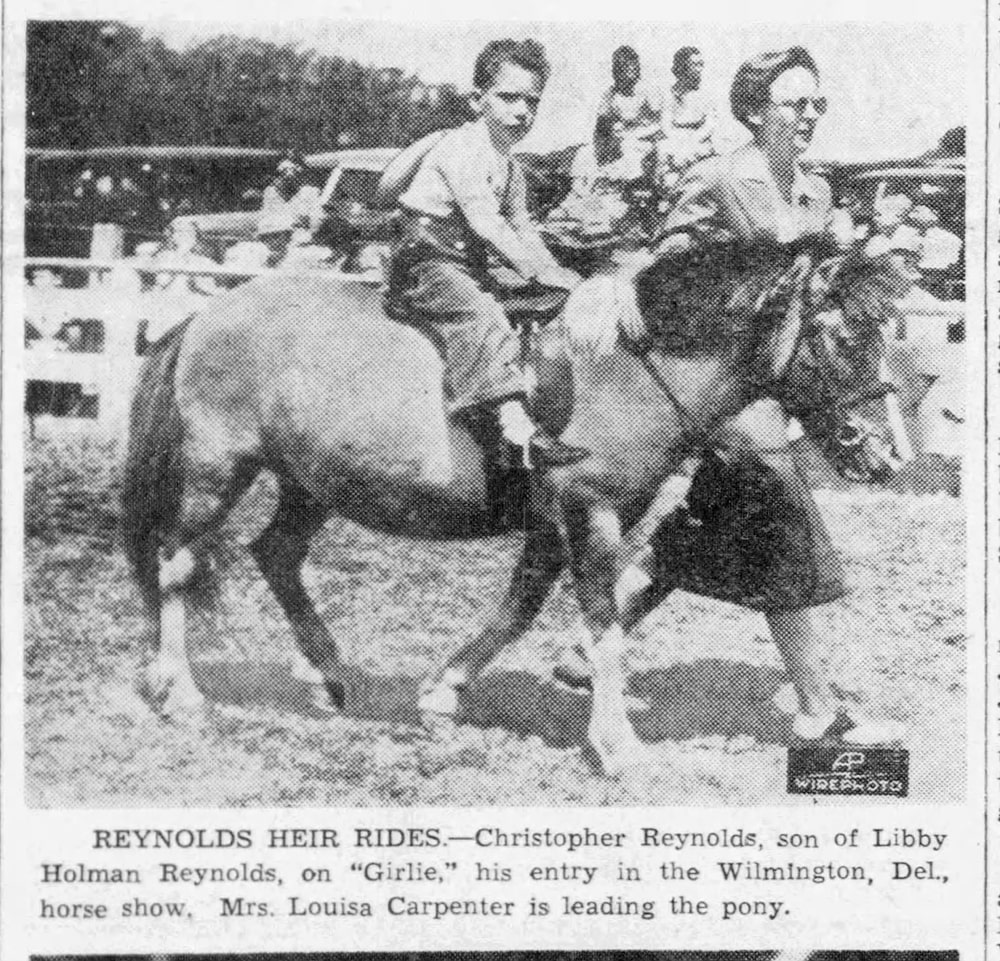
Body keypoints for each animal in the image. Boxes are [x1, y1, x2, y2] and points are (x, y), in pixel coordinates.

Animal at [121, 236, 912, 776]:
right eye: (845, 333)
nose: (886, 452)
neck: (625, 363)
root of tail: (202, 316)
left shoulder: (558, 521)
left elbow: (521, 609)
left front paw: (444, 689)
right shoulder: (590, 513)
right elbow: (603, 626)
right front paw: (618, 744)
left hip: (309, 481)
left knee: (275, 554)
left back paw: (326, 672)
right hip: (216, 471)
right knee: (176, 567)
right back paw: (180, 690)